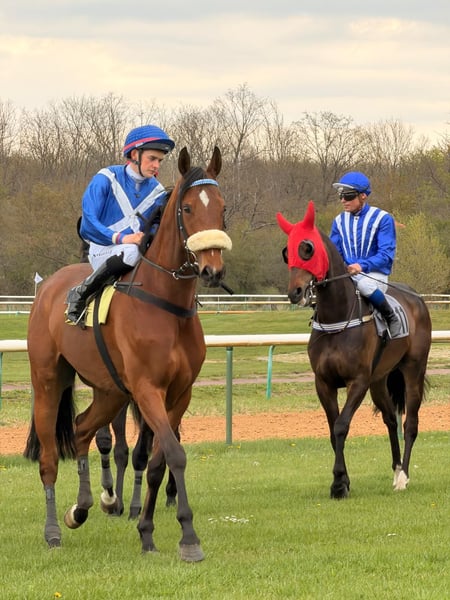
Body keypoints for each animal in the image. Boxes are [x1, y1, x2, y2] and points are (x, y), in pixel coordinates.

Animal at [24, 146, 232, 561]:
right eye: (187, 208)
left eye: (221, 208)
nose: (212, 268)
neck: (167, 306)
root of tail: (48, 288)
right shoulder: (148, 388)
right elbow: (174, 454)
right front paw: (189, 538)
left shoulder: (179, 394)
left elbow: (156, 461)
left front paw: (147, 531)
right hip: (49, 381)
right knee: (50, 457)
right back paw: (53, 530)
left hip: (111, 392)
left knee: (82, 428)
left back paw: (84, 506)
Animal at [277, 201, 431, 498]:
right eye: (287, 252)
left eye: (308, 249)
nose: (295, 292)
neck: (336, 319)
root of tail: (416, 298)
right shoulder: (323, 382)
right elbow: (331, 428)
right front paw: (343, 481)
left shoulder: (357, 381)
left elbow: (341, 426)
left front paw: (339, 484)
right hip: (379, 379)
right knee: (390, 419)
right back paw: (396, 469)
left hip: (413, 370)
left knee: (410, 423)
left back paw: (403, 477)